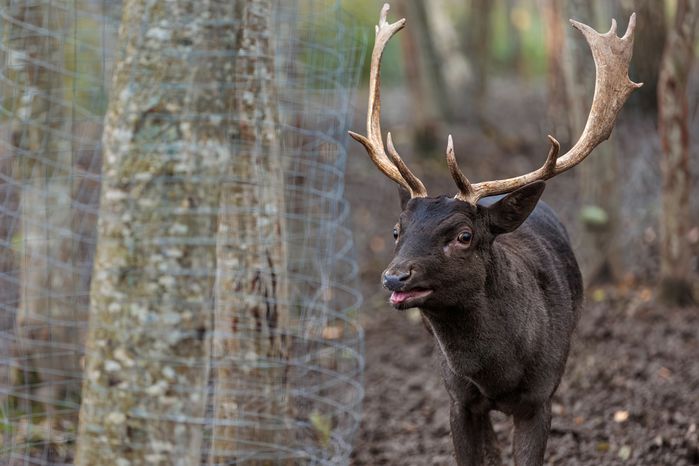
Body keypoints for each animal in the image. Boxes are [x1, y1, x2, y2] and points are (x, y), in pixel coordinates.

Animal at [349, 4, 641, 466]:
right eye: (396, 230)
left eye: (464, 236)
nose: (395, 276)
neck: (501, 371)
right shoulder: (457, 399)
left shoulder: (542, 398)